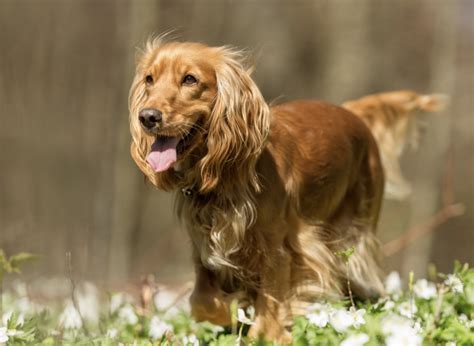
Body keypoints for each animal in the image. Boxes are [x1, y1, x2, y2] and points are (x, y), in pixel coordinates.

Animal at [129, 39, 444, 342]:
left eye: (190, 79)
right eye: (149, 79)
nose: (147, 117)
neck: (226, 177)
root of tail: (352, 112)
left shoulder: (279, 249)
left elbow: (270, 305)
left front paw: (267, 332)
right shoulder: (204, 251)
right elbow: (206, 302)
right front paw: (235, 309)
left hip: (354, 236)